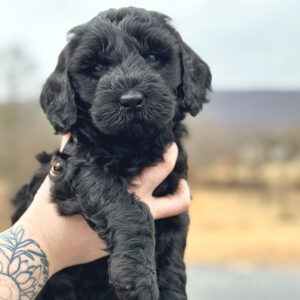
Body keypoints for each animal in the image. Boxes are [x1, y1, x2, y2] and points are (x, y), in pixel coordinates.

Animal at [11, 7, 211, 300]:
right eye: (97, 68)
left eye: (152, 57)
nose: (131, 100)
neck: (131, 146)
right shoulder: (73, 168)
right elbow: (127, 207)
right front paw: (137, 277)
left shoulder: (174, 196)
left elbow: (172, 254)